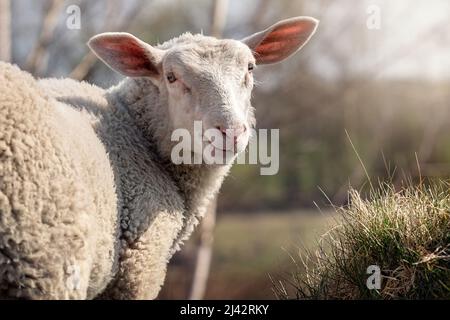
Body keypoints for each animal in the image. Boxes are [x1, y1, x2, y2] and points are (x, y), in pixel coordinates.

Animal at [0, 16, 318, 298]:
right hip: (45, 257)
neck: (137, 131)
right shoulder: (141, 262)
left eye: (250, 68)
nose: (231, 132)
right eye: (171, 77)